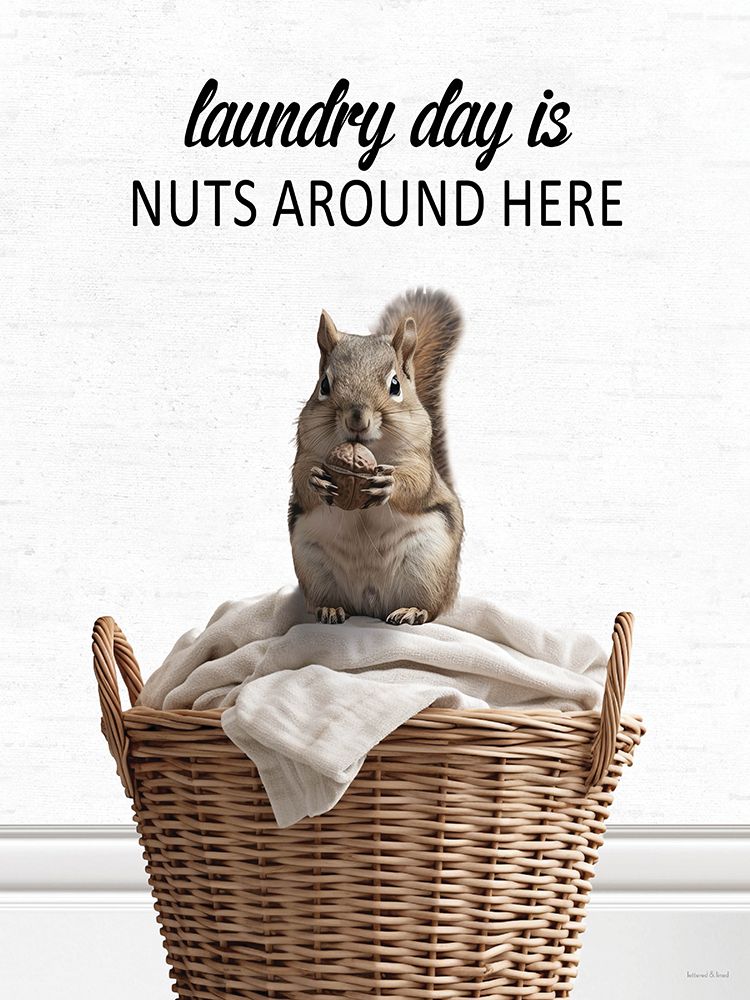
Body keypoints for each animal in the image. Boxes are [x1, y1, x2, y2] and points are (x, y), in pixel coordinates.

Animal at [288, 289, 464, 626]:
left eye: (395, 385)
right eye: (324, 384)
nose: (357, 418)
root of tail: (369, 607)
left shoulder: (419, 457)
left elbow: (417, 483)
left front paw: (388, 484)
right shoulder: (306, 448)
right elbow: (299, 477)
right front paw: (317, 480)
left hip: (428, 566)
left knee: (432, 607)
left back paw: (412, 610)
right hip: (311, 565)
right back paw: (329, 609)